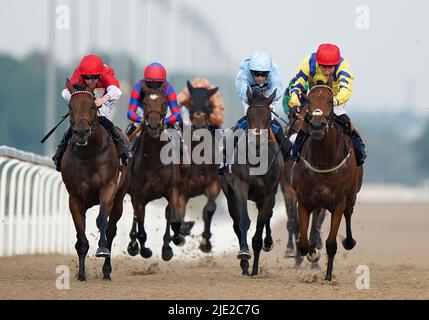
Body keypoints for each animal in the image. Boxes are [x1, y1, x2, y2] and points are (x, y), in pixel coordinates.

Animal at [61, 79, 130, 282]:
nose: (81, 132)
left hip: (119, 199)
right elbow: (80, 234)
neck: (88, 154)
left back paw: (106, 271)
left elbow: (102, 221)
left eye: (92, 106)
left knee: (111, 229)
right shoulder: (74, 196)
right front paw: (81, 274)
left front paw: (101, 249)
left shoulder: (108, 189)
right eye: (70, 107)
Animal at [124, 81, 183, 262]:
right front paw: (143, 250)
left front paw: (170, 245)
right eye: (144, 103)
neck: (154, 160)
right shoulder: (138, 196)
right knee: (136, 219)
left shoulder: (172, 190)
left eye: (164, 103)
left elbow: (173, 219)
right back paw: (133, 244)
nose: (154, 126)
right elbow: (142, 229)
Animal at [178, 80, 222, 252]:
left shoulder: (213, 183)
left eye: (208, 103)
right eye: (190, 102)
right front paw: (183, 230)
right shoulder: (181, 190)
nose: (198, 124)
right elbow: (178, 211)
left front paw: (205, 243)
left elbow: (209, 208)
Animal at [219, 87, 282, 276]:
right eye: (248, 115)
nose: (256, 140)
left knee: (268, 216)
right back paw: (245, 264)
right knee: (236, 223)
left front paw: (255, 269)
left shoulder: (269, 194)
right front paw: (245, 255)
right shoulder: (240, 186)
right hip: (229, 195)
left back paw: (267, 244)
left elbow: (260, 225)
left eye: (268, 116)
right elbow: (244, 221)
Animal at [290, 79, 362, 280]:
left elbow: (331, 243)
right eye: (308, 101)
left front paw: (328, 276)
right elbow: (303, 243)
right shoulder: (304, 201)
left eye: (330, 101)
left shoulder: (338, 202)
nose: (317, 125)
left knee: (348, 214)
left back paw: (349, 241)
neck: (323, 160)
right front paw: (312, 253)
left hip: (351, 195)